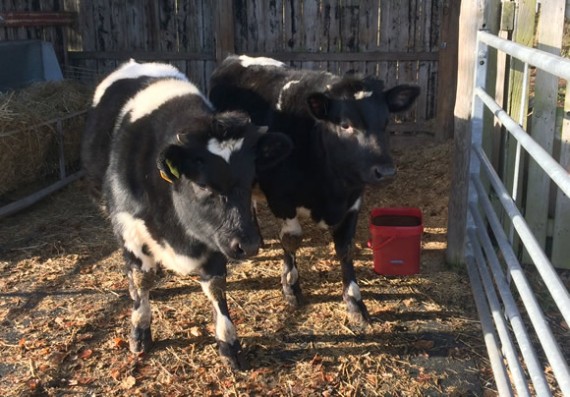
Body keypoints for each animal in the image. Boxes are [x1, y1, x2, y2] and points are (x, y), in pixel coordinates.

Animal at [81, 59, 290, 368]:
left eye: (252, 177)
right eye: (202, 185)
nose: (250, 244)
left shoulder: (213, 237)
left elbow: (216, 287)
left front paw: (228, 343)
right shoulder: (130, 229)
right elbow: (141, 281)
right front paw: (139, 331)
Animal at [209, 55, 418, 324]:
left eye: (385, 122)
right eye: (345, 125)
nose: (386, 171)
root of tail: (233, 59)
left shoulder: (353, 200)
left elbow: (345, 247)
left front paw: (354, 301)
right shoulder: (282, 199)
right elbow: (291, 240)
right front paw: (291, 287)